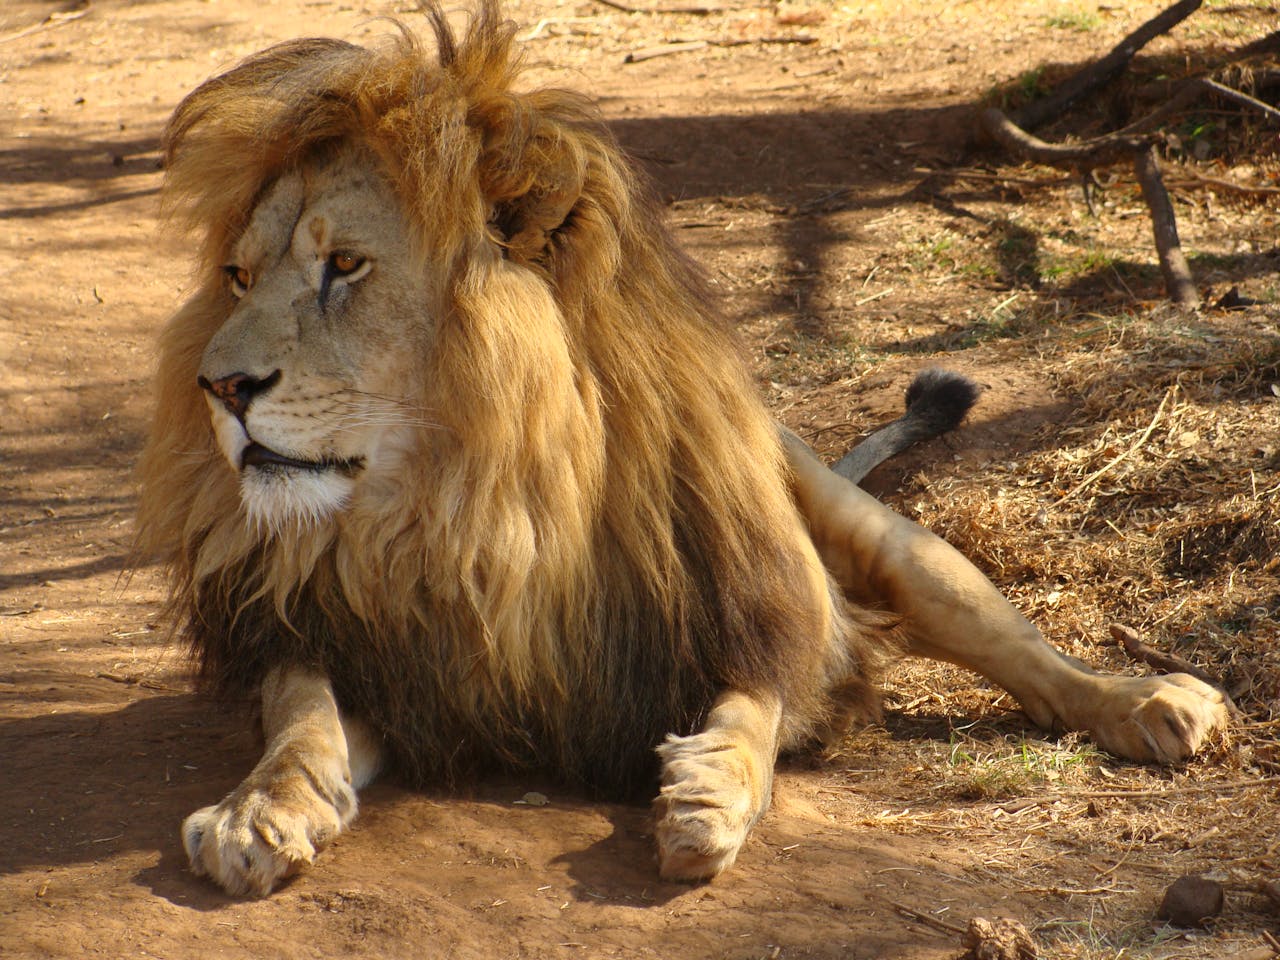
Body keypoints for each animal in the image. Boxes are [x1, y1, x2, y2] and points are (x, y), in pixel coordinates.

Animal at [137, 2, 1228, 898]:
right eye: (237, 277)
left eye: (347, 265)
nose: (217, 388)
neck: (474, 506)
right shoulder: (378, 659)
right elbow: (301, 719)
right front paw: (257, 810)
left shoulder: (746, 607)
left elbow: (757, 708)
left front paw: (708, 798)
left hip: (881, 542)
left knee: (1025, 653)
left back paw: (1154, 702)